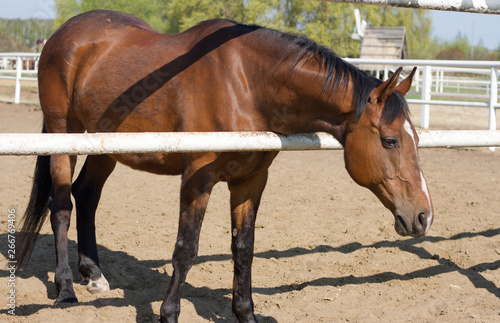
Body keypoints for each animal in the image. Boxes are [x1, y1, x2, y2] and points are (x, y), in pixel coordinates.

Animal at [17, 10, 434, 323]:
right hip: (64, 132)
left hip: (107, 144)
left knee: (86, 196)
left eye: (416, 139)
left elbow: (243, 249)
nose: (423, 216)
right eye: (390, 140)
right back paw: (65, 288)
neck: (248, 83)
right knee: (61, 205)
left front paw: (246, 314)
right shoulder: (197, 179)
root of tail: (65, 34)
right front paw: (169, 314)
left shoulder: (250, 181)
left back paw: (95, 276)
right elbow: (186, 249)